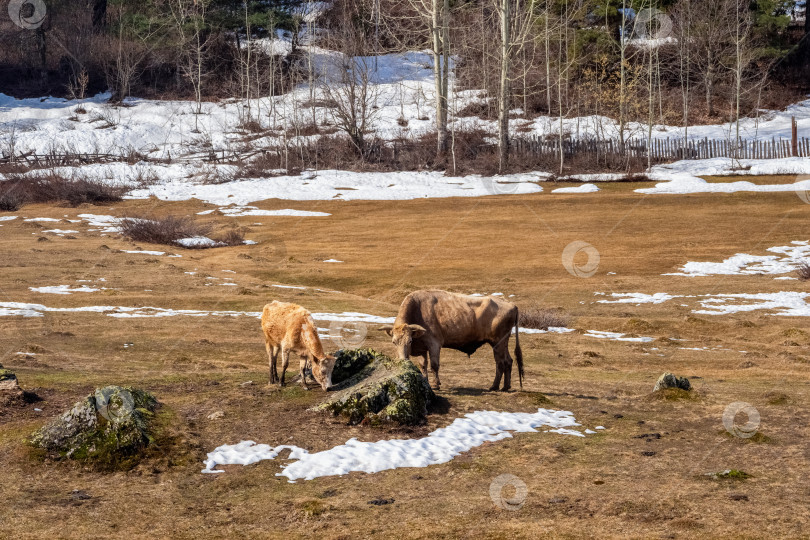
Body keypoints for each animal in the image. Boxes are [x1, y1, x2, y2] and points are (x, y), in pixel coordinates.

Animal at [379, 290, 523, 392]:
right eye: (393, 342)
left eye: (409, 341)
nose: (402, 360)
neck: (418, 309)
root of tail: (512, 304)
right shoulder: (422, 347)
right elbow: (423, 365)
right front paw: (425, 381)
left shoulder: (434, 343)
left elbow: (434, 365)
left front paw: (436, 385)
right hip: (502, 343)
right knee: (508, 361)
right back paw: (505, 386)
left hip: (498, 343)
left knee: (500, 363)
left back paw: (495, 386)